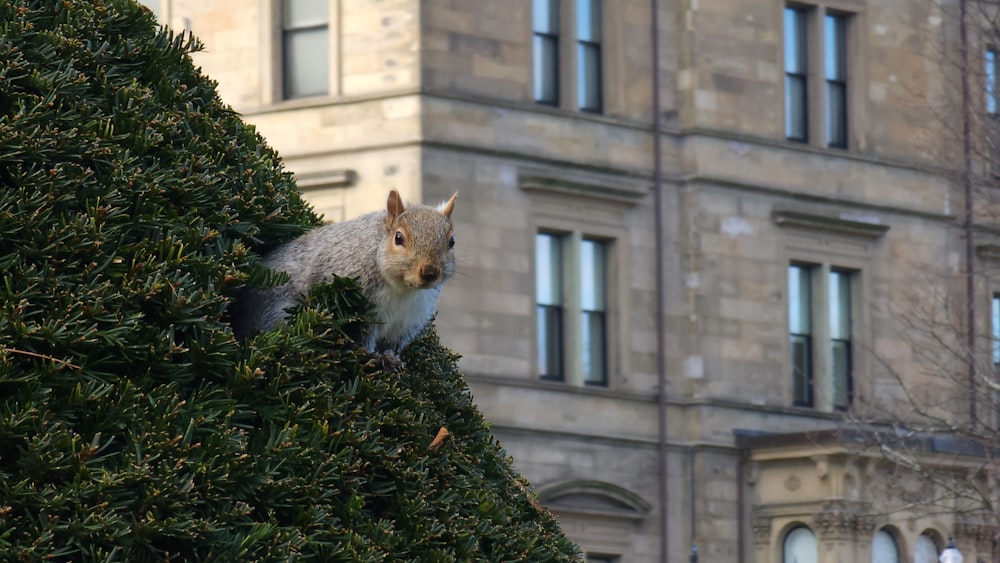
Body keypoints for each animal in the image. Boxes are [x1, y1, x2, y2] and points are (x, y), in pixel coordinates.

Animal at [234, 192, 458, 354]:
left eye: (452, 241)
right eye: (398, 237)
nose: (429, 272)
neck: (403, 289)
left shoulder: (412, 318)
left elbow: (394, 345)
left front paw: (391, 359)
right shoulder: (360, 305)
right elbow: (361, 337)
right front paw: (372, 357)